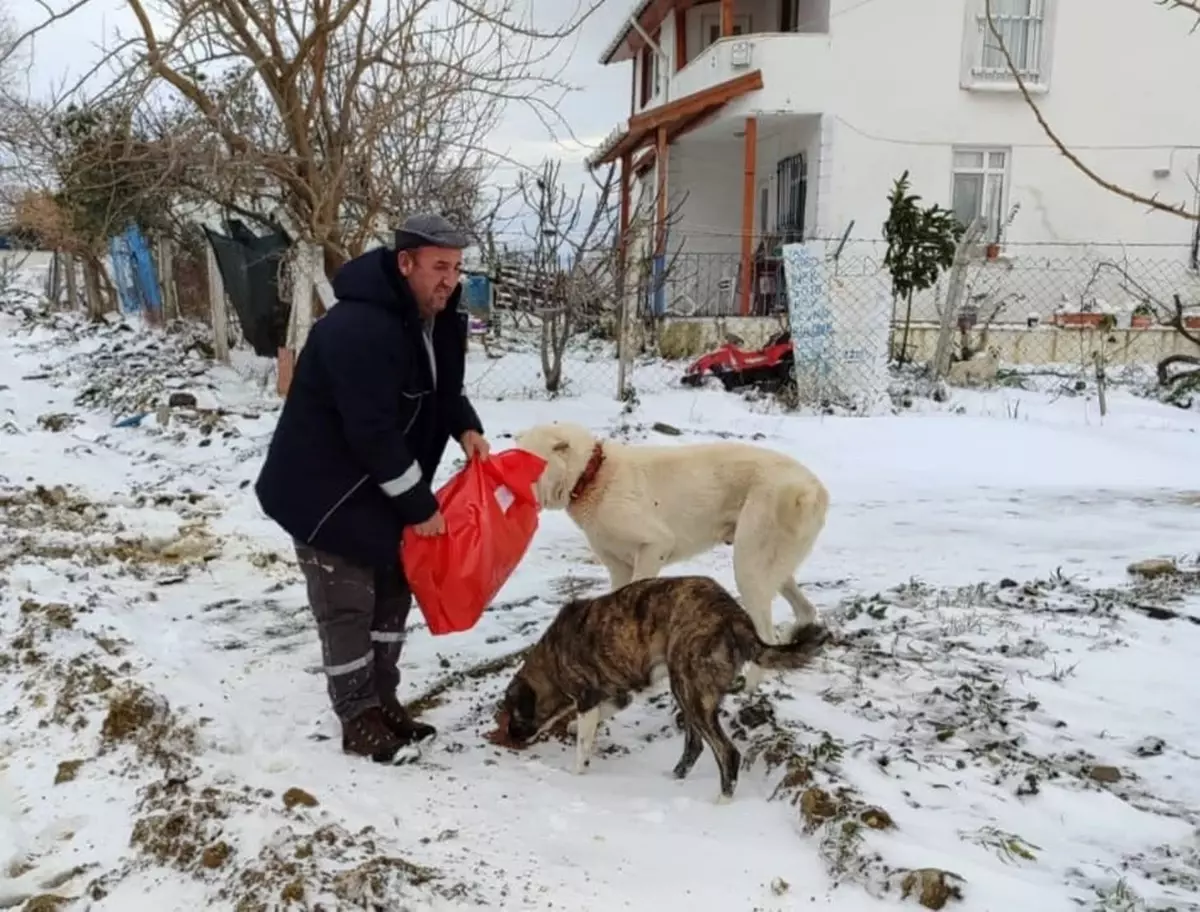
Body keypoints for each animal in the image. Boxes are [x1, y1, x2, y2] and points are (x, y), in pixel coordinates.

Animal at [494, 576, 825, 806]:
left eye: (513, 714)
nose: (511, 737)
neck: (552, 656)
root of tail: (736, 618)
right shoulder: (619, 694)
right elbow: (601, 713)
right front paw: (575, 726)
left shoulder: (587, 695)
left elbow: (583, 743)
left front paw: (576, 772)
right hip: (690, 692)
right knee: (695, 745)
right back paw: (674, 779)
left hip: (687, 687)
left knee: (726, 752)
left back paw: (722, 801)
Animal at [511, 422, 830, 691]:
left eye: (530, 464)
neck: (593, 475)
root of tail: (813, 487)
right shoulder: (617, 566)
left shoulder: (655, 545)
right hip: (770, 566)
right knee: (804, 611)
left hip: (749, 565)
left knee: (766, 632)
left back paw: (748, 688)